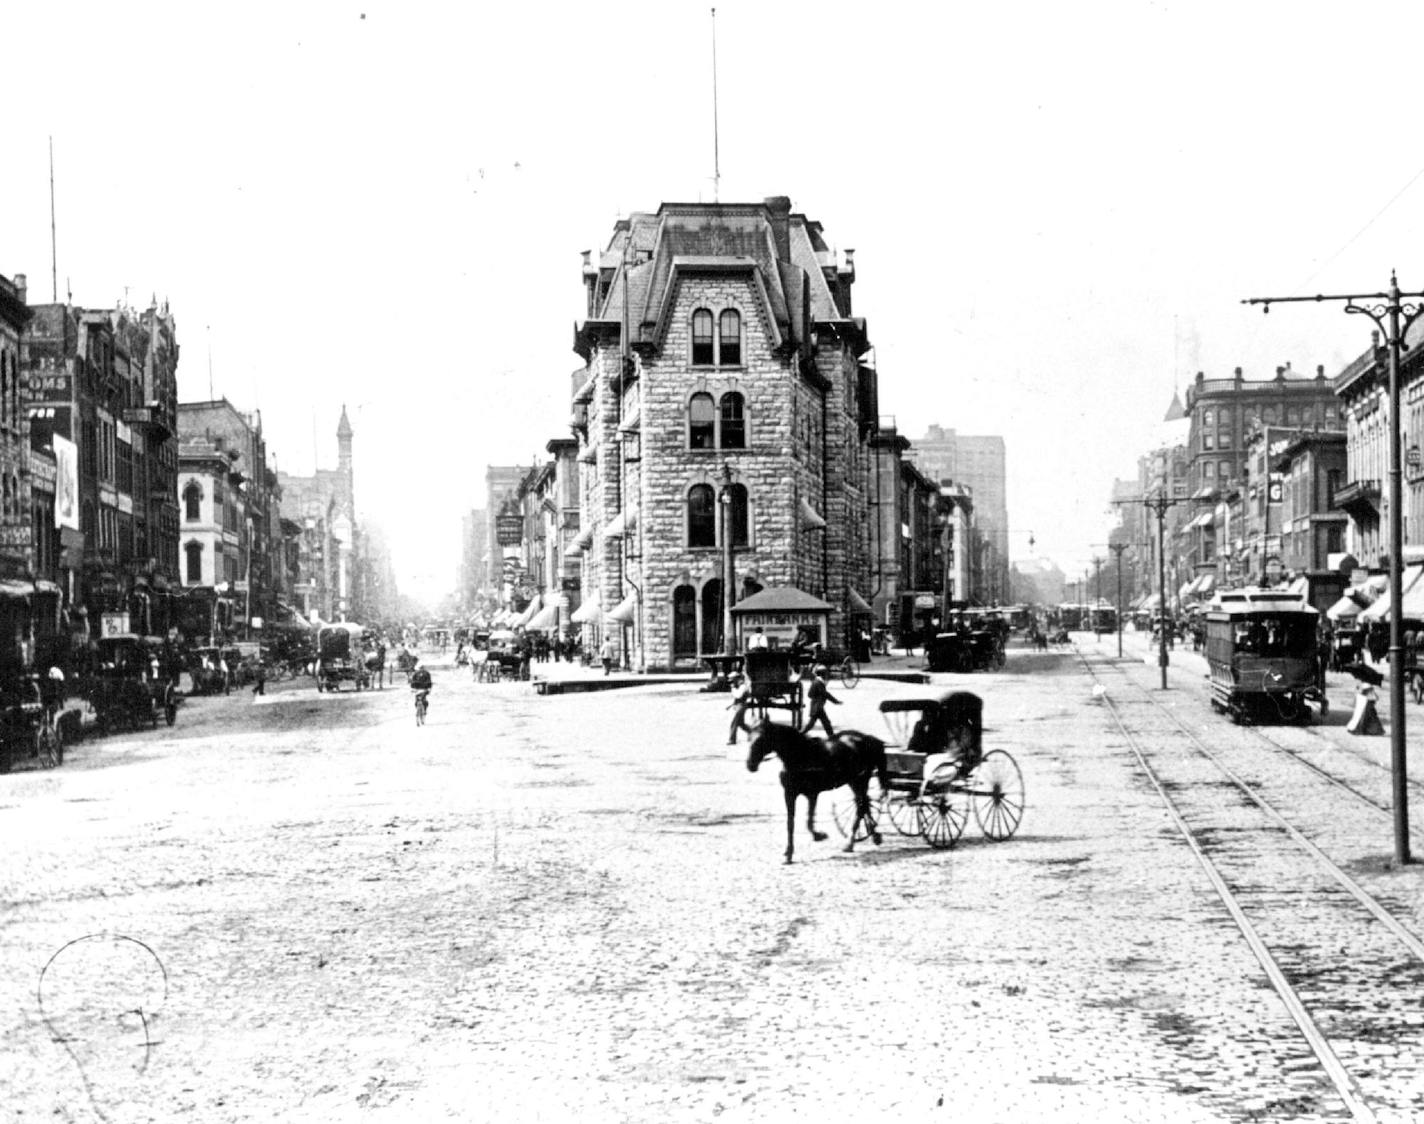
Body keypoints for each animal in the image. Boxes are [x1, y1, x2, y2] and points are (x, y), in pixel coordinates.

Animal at [746, 723, 888, 866]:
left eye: (760, 740)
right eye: (748, 738)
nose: (750, 765)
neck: (800, 756)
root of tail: (868, 738)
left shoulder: (812, 794)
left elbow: (809, 821)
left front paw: (819, 836)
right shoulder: (789, 794)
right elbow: (791, 823)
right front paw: (789, 853)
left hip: (860, 780)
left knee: (861, 806)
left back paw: (851, 842)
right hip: (854, 782)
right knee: (864, 804)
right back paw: (873, 836)